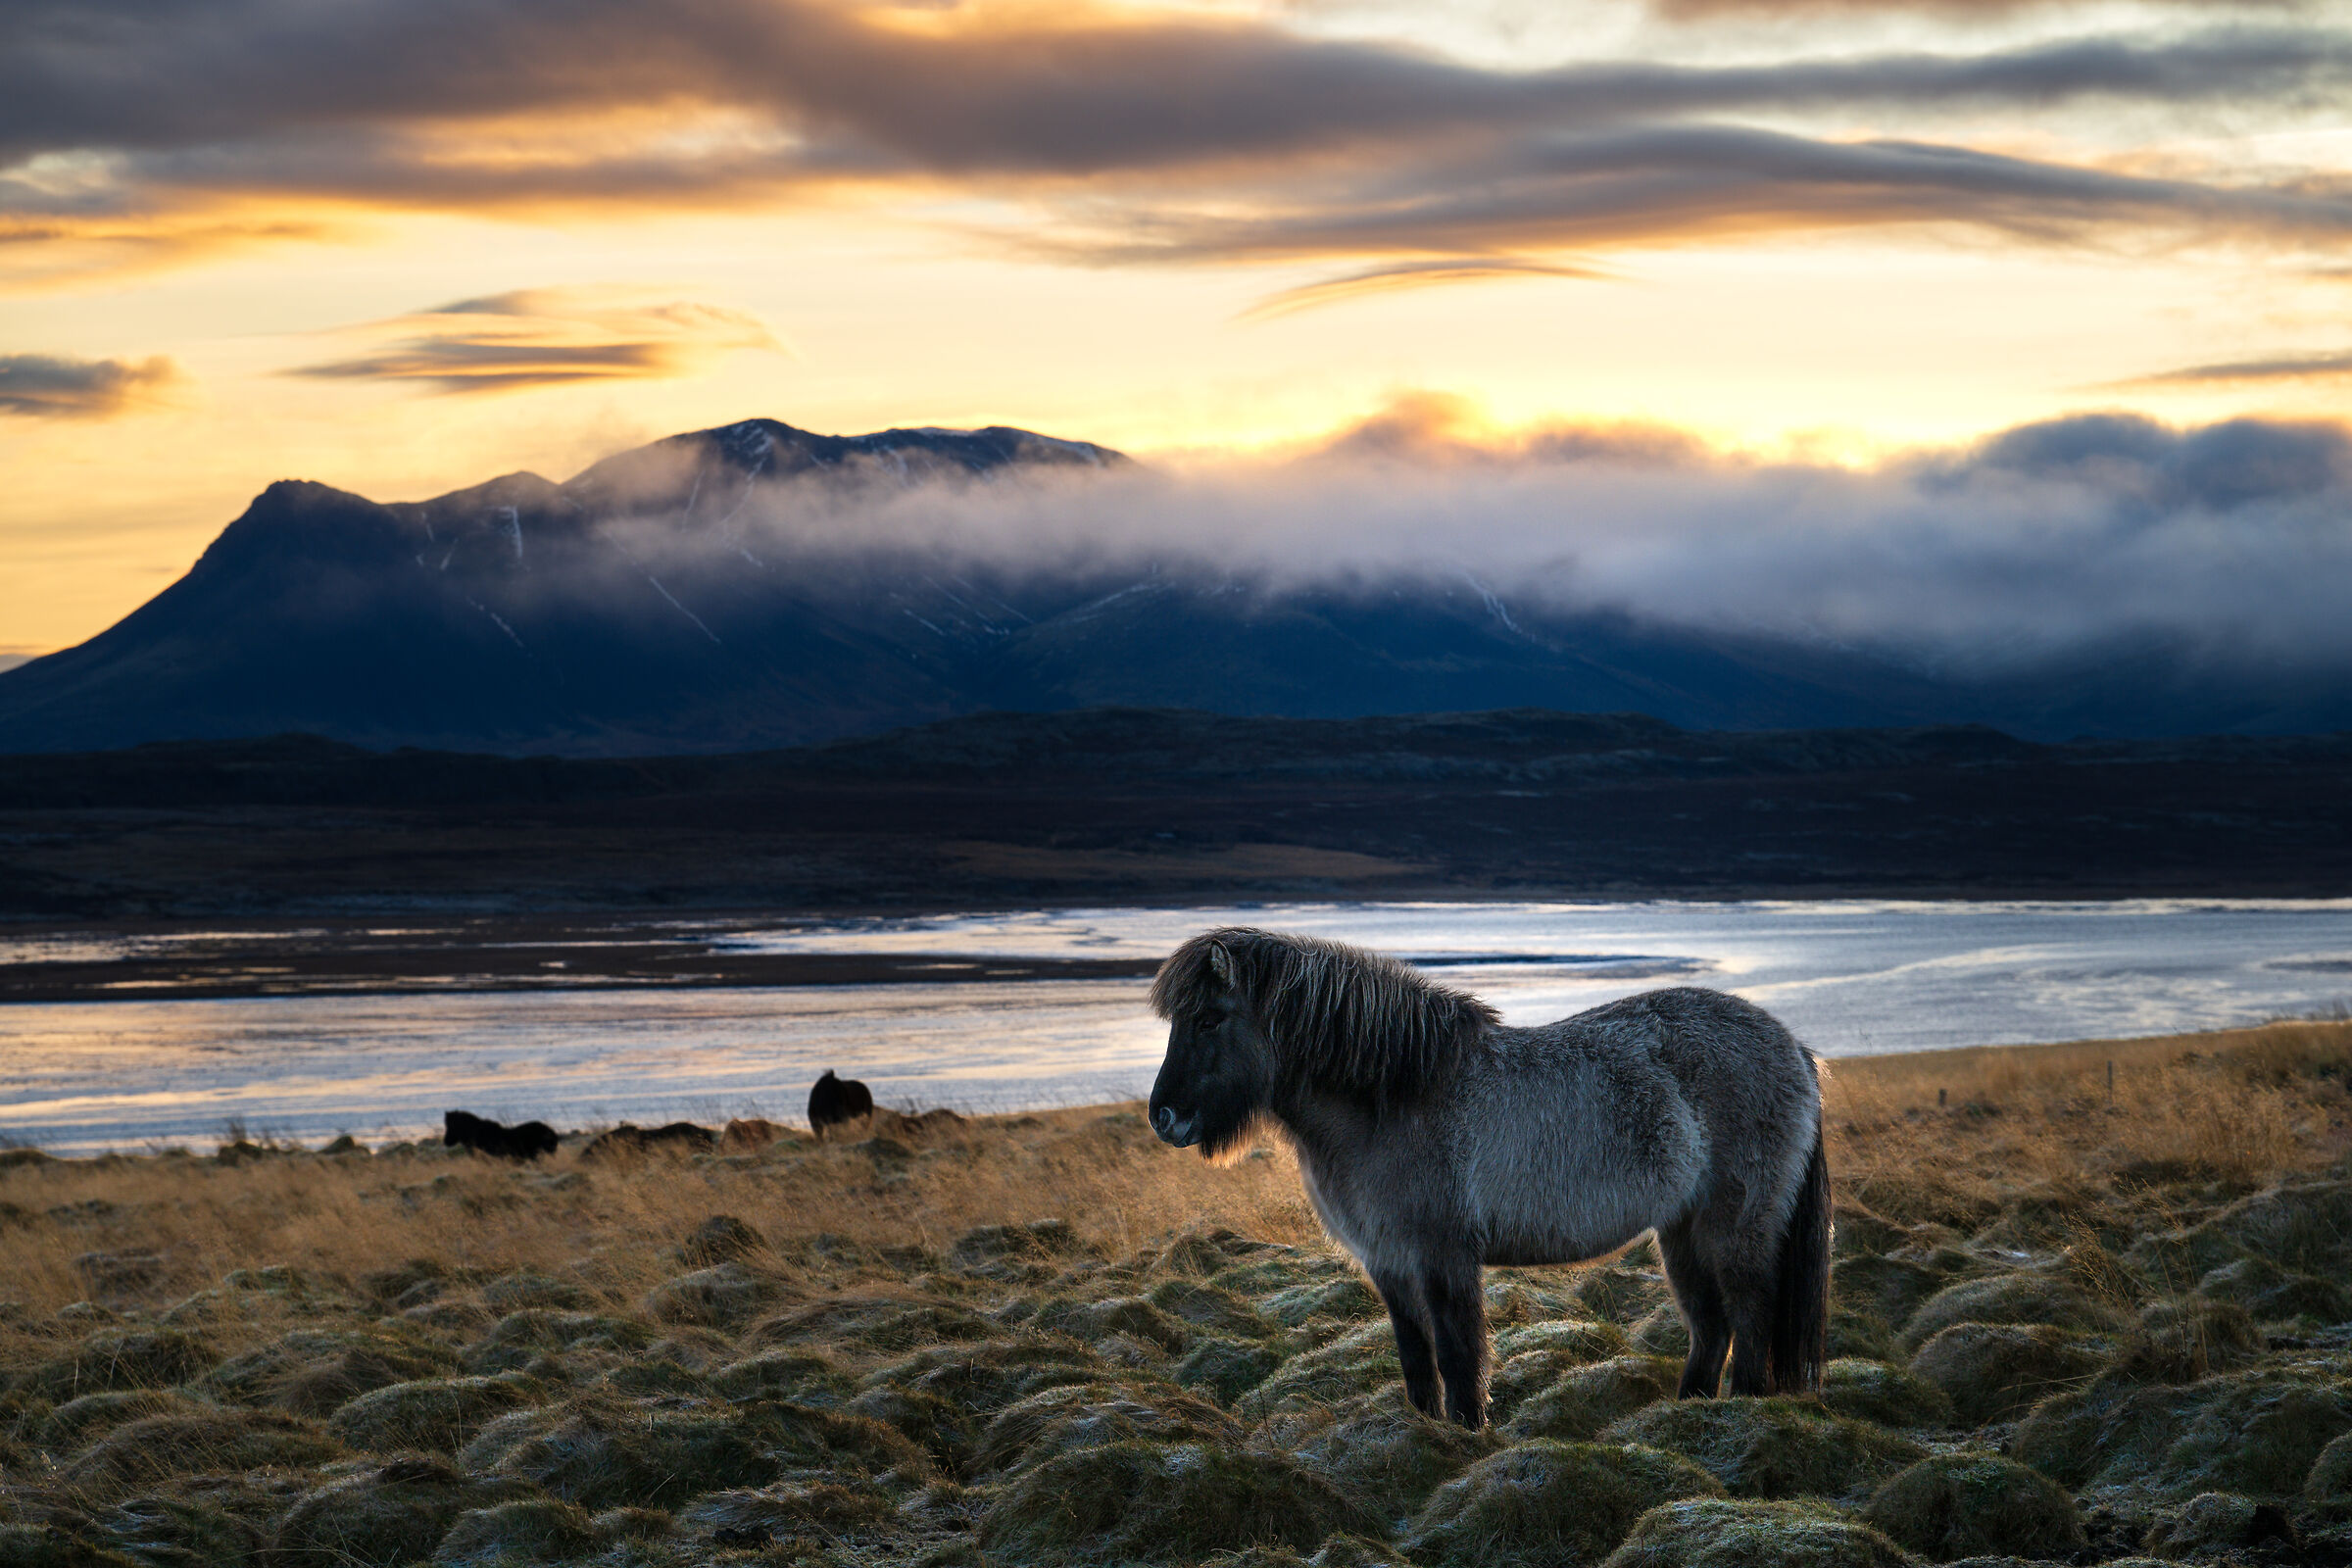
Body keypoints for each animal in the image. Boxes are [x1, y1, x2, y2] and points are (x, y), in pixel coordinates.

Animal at [1146, 927, 1828, 1429]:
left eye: (1209, 1019)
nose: (1164, 1117)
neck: (1392, 1098)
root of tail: (1795, 1049)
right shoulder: (1388, 1263)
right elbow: (1416, 1360)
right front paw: (1428, 1436)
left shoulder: (1443, 1257)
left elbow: (1458, 1357)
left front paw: (1469, 1435)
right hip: (1680, 1231)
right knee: (1710, 1327)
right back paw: (1683, 1418)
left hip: (1735, 1227)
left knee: (1749, 1314)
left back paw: (1741, 1412)